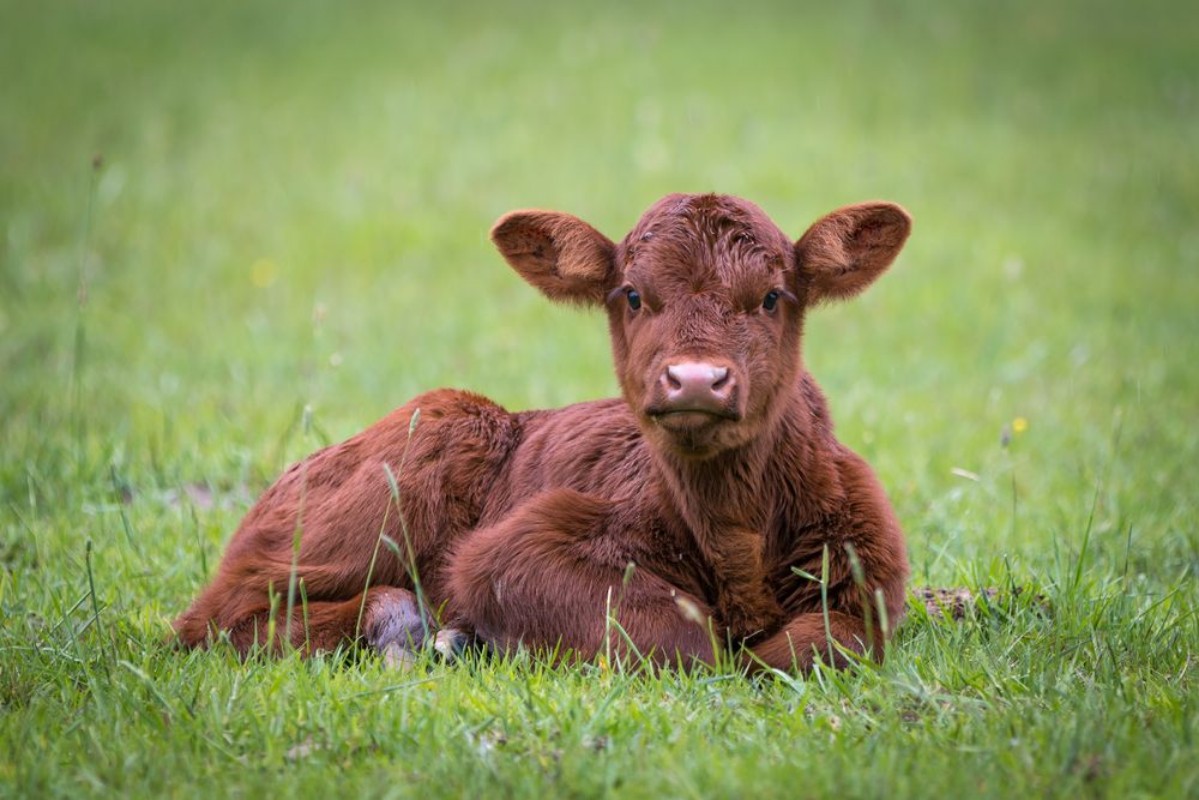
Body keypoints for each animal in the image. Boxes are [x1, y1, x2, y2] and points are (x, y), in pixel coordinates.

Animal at [174, 193, 912, 673]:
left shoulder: (869, 576)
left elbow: (819, 645)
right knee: (210, 619)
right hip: (411, 459)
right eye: (632, 296)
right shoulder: (514, 551)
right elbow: (685, 643)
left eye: (771, 297)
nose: (697, 379)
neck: (734, 537)